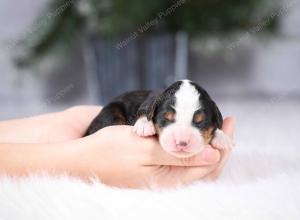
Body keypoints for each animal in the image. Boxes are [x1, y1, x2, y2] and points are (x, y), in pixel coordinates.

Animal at [85, 79, 233, 158]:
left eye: (200, 121)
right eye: (166, 118)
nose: (182, 142)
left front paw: (222, 137)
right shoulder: (150, 99)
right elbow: (145, 110)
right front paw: (144, 125)